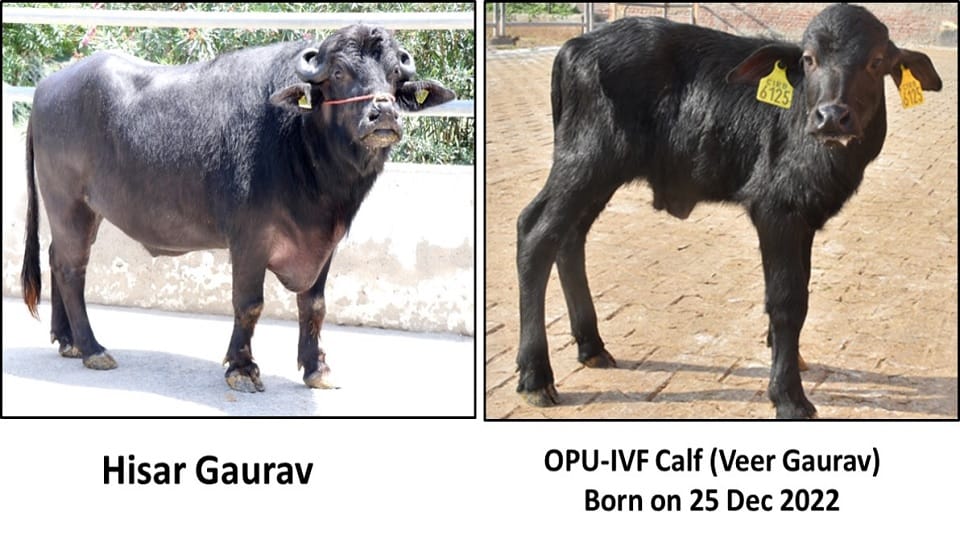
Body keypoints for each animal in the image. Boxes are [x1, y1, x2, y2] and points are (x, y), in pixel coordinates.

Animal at [21, 24, 455, 392]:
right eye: (339, 72)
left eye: (395, 75)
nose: (383, 114)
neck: (301, 144)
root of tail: (46, 87)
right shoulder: (250, 240)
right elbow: (249, 304)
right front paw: (243, 369)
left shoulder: (324, 242)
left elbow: (314, 305)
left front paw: (317, 368)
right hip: (67, 203)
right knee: (71, 269)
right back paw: (92, 348)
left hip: (84, 210)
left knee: (56, 257)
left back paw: (67, 341)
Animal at [514, 4, 942, 418]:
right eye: (808, 59)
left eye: (876, 61)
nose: (831, 117)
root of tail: (576, 46)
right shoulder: (776, 211)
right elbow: (787, 300)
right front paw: (788, 396)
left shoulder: (803, 218)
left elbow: (799, 291)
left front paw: (790, 358)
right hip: (585, 161)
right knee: (535, 233)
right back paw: (536, 377)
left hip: (600, 174)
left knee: (570, 237)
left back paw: (591, 347)